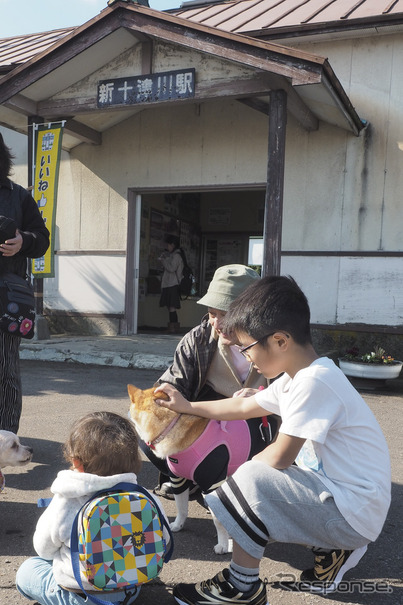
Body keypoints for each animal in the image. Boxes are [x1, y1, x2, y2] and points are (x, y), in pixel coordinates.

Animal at [129, 384, 278, 548]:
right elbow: (181, 508)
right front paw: (178, 525)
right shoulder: (178, 480)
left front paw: (223, 544)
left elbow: (218, 521)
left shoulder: (212, 484)